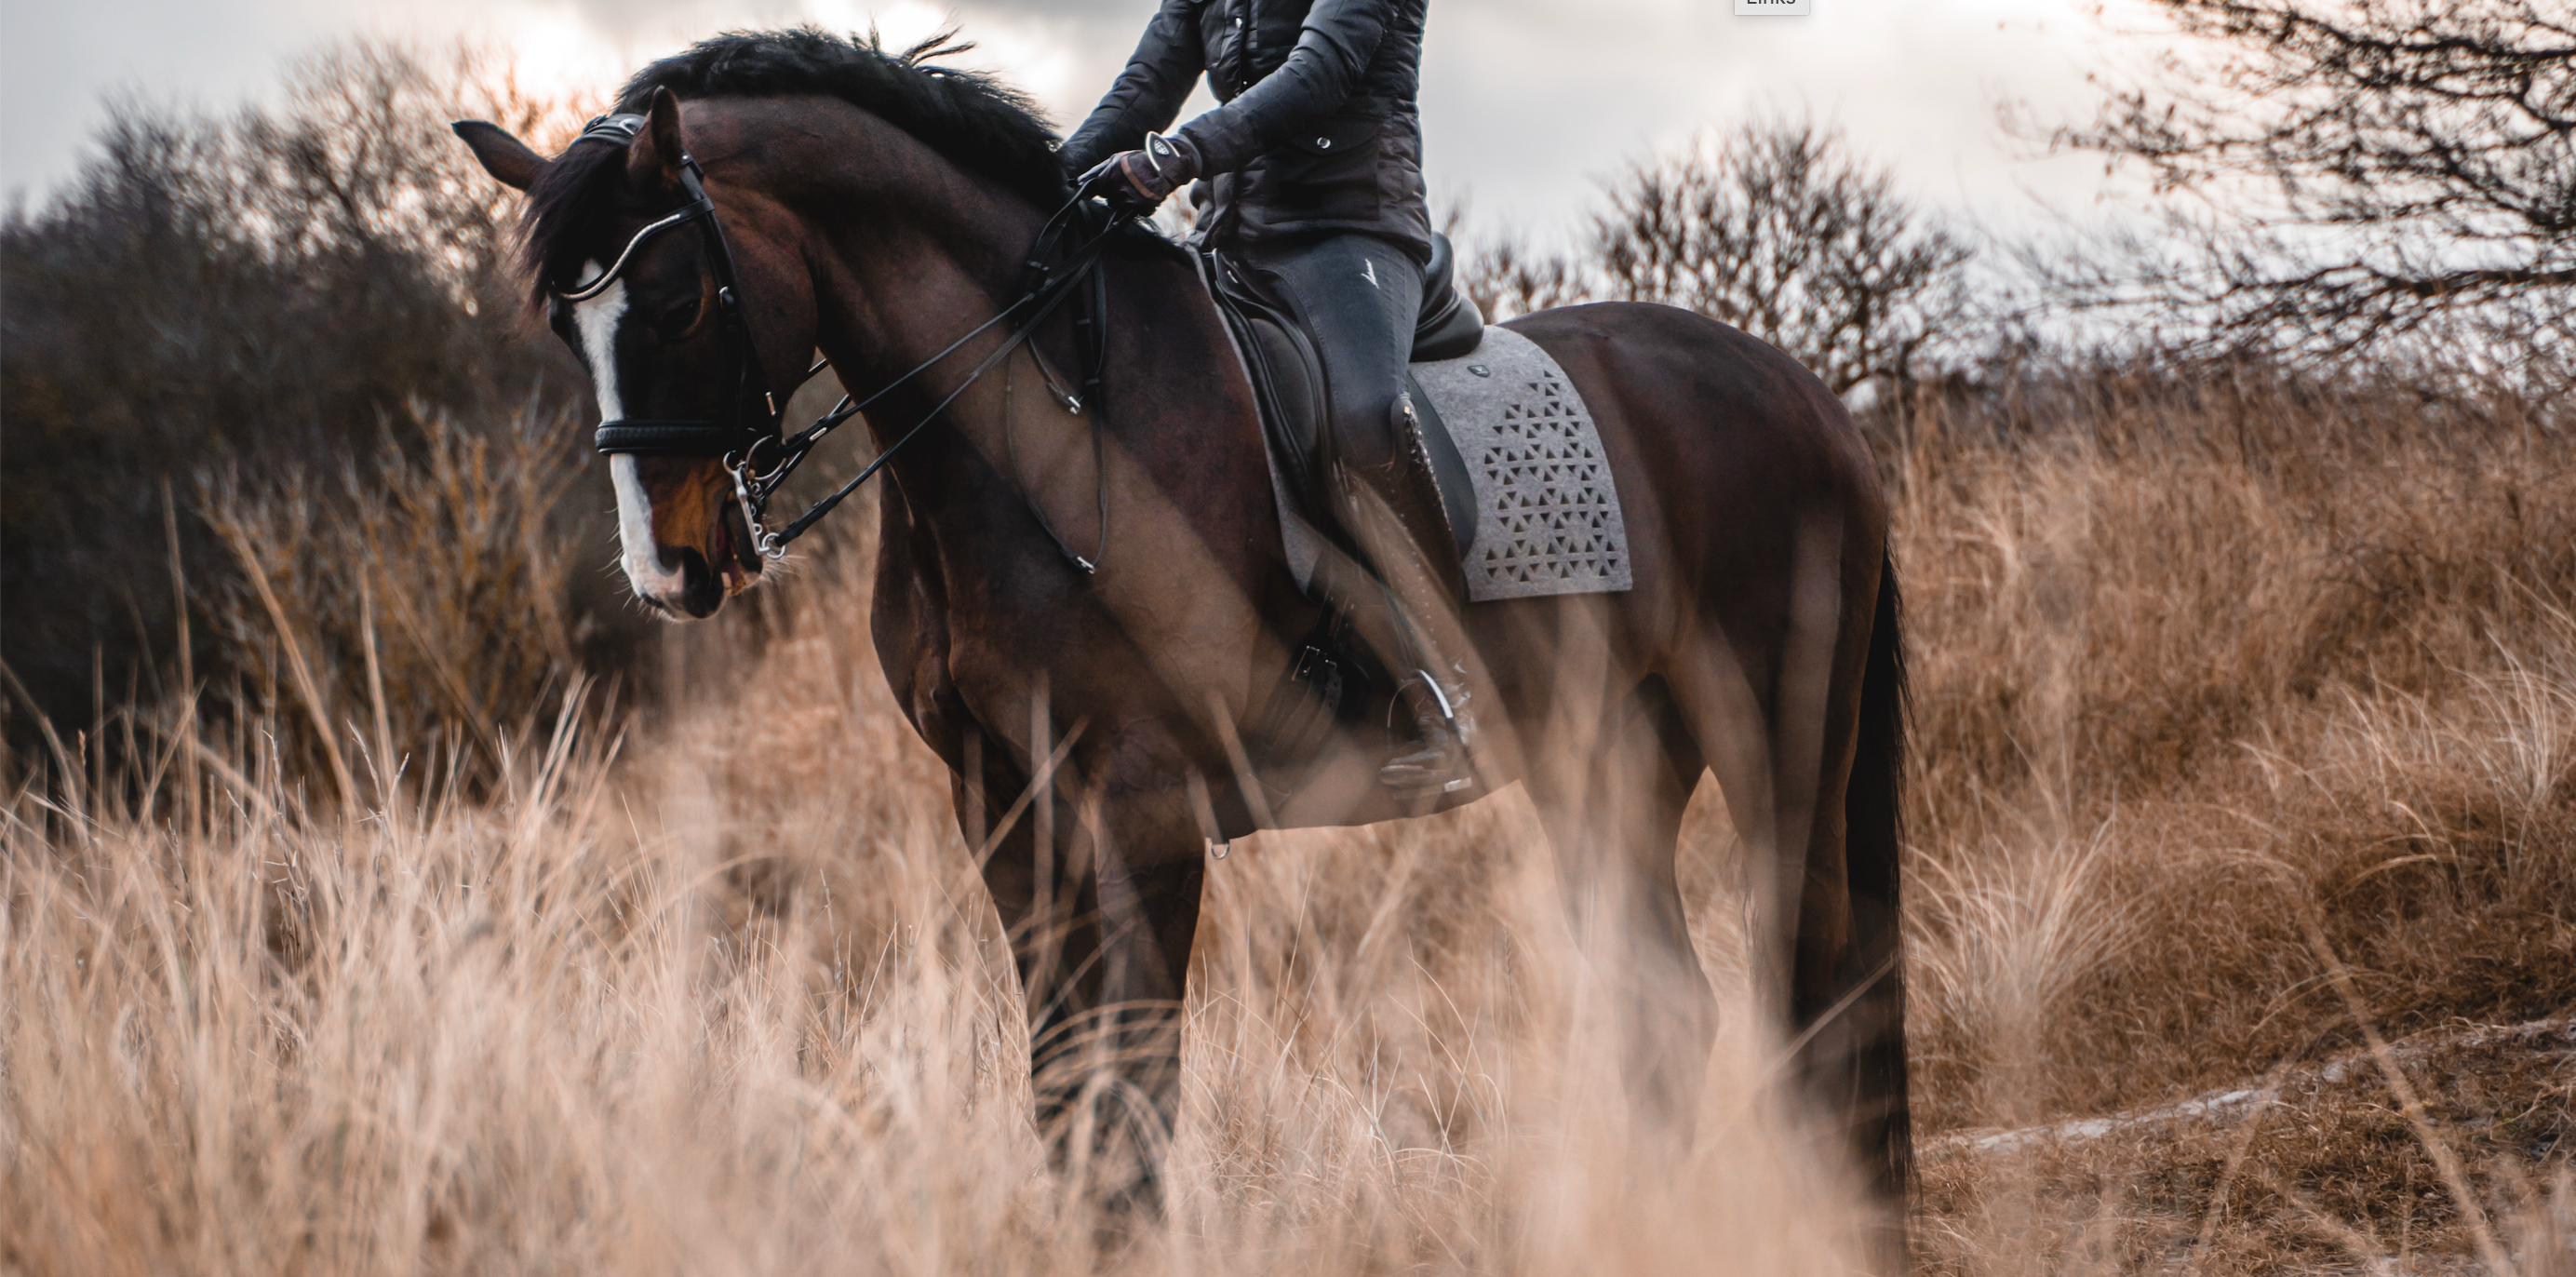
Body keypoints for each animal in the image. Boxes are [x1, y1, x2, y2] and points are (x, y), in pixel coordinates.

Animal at [455, 27, 1912, 1237]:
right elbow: (1064, 1086)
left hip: (1780, 748)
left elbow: (1134, 1094)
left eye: (681, 298)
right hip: (1602, 767)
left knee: (1817, 1010)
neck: (1036, 425)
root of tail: (1800, 394)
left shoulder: (1142, 805)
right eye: (567, 325)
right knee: (1672, 1013)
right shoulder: (1003, 804)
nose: (672, 569)